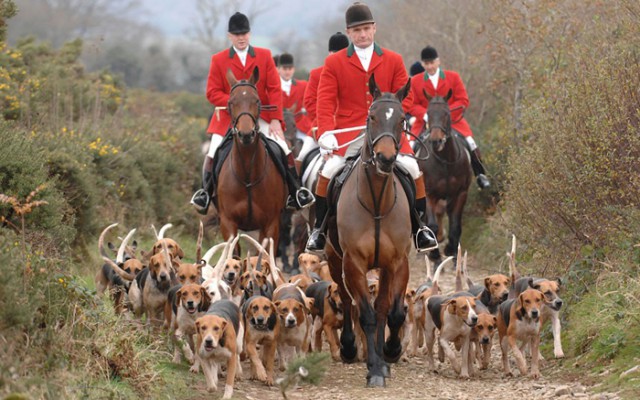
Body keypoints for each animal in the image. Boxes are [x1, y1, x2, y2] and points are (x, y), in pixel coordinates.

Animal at [216, 67, 286, 252]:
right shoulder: (228, 223)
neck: (247, 174)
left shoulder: (270, 224)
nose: (246, 134)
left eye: (257, 100)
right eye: (231, 102)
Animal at [324, 75, 410, 388]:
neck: (376, 203)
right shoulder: (354, 263)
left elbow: (391, 311)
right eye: (372, 116)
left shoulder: (396, 262)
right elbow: (367, 314)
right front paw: (374, 368)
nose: (385, 158)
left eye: (402, 118)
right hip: (335, 260)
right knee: (347, 299)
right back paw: (350, 347)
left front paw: (389, 353)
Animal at [418, 90, 472, 264]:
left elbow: (456, 226)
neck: (445, 161)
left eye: (447, 114)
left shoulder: (461, 193)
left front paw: (452, 251)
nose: (436, 140)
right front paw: (435, 255)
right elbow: (432, 225)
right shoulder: (429, 195)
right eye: (428, 113)